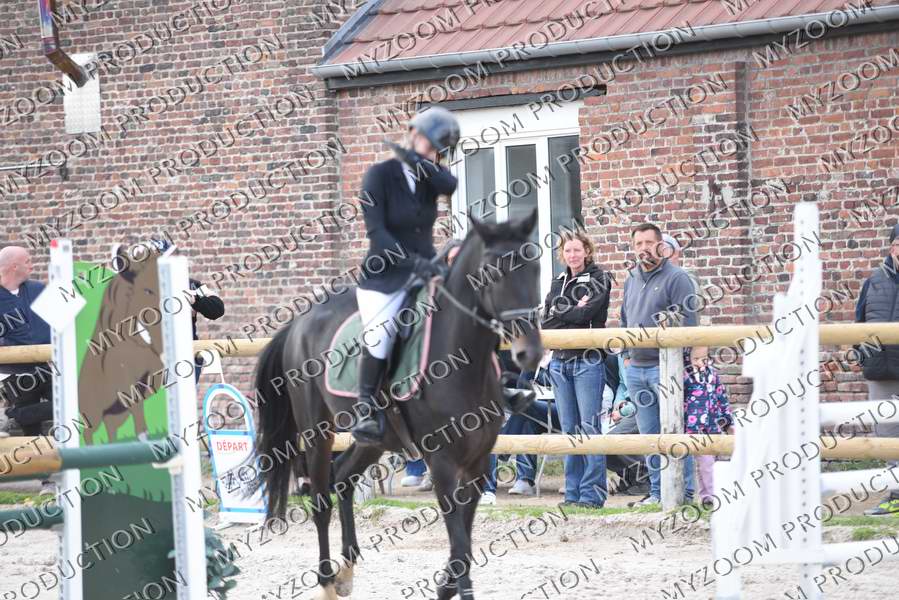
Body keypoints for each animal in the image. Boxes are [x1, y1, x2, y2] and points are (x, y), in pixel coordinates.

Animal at [252, 211, 543, 599]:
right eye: (491, 271)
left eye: (536, 266)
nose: (530, 353)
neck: (464, 362)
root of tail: (299, 322)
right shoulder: (443, 464)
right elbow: (461, 549)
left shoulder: (478, 465)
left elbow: (462, 547)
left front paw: (444, 587)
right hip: (317, 432)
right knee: (321, 501)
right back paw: (327, 581)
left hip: (375, 440)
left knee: (343, 477)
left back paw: (347, 569)